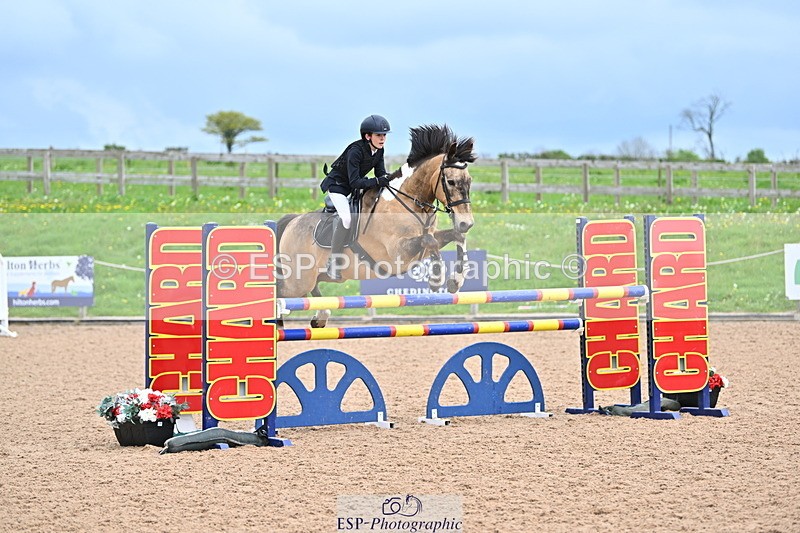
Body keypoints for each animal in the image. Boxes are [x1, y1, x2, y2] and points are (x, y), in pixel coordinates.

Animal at [277, 124, 477, 328]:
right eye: (450, 181)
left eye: (469, 181)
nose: (466, 223)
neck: (408, 202)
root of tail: (292, 222)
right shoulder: (398, 252)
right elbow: (430, 241)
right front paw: (437, 279)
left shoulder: (424, 243)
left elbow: (455, 236)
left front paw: (455, 281)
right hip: (299, 279)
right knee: (282, 292)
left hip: (310, 277)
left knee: (311, 291)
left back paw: (321, 316)